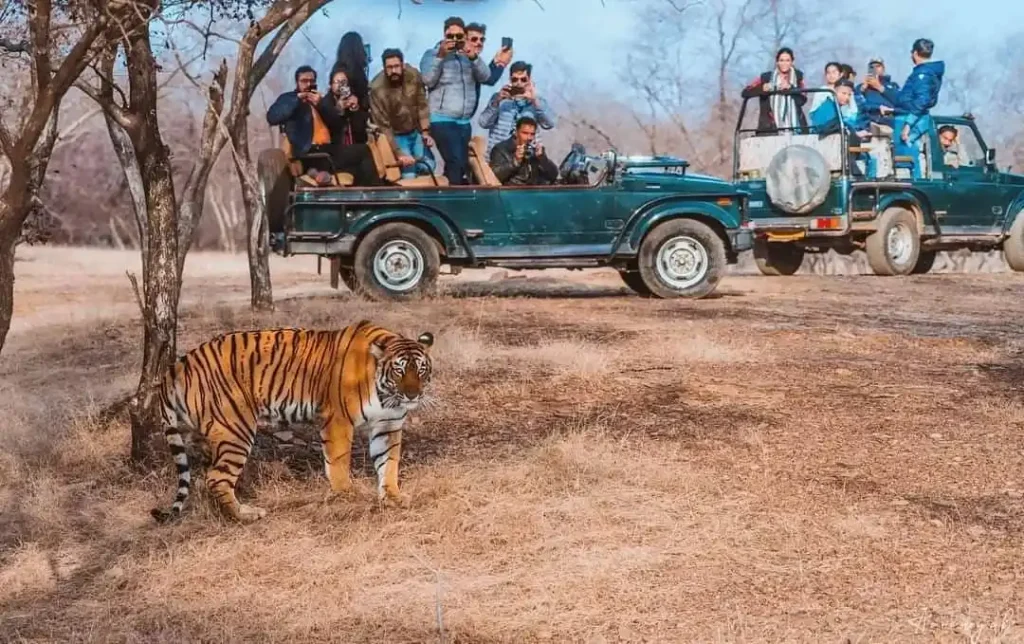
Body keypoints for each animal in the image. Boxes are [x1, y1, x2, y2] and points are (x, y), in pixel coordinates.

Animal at [151, 319, 435, 524]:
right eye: (399, 370)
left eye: (421, 370)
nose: (413, 395)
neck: (388, 397)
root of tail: (176, 365)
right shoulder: (338, 420)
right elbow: (339, 462)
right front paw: (347, 495)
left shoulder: (388, 426)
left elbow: (389, 463)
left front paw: (393, 496)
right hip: (236, 429)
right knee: (215, 477)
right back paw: (245, 515)